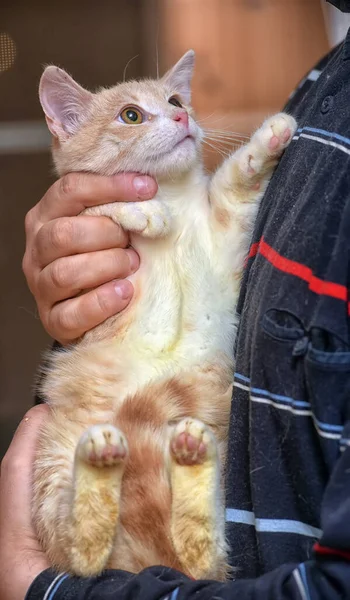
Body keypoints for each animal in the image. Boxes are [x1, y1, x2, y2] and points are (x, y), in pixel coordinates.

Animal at [32, 51, 296, 580]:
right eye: (131, 114)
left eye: (175, 100)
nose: (180, 118)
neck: (173, 197)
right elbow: (97, 206)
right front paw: (142, 210)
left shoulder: (224, 240)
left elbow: (234, 184)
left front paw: (269, 138)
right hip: (51, 470)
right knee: (82, 550)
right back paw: (106, 460)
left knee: (198, 550)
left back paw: (187, 456)